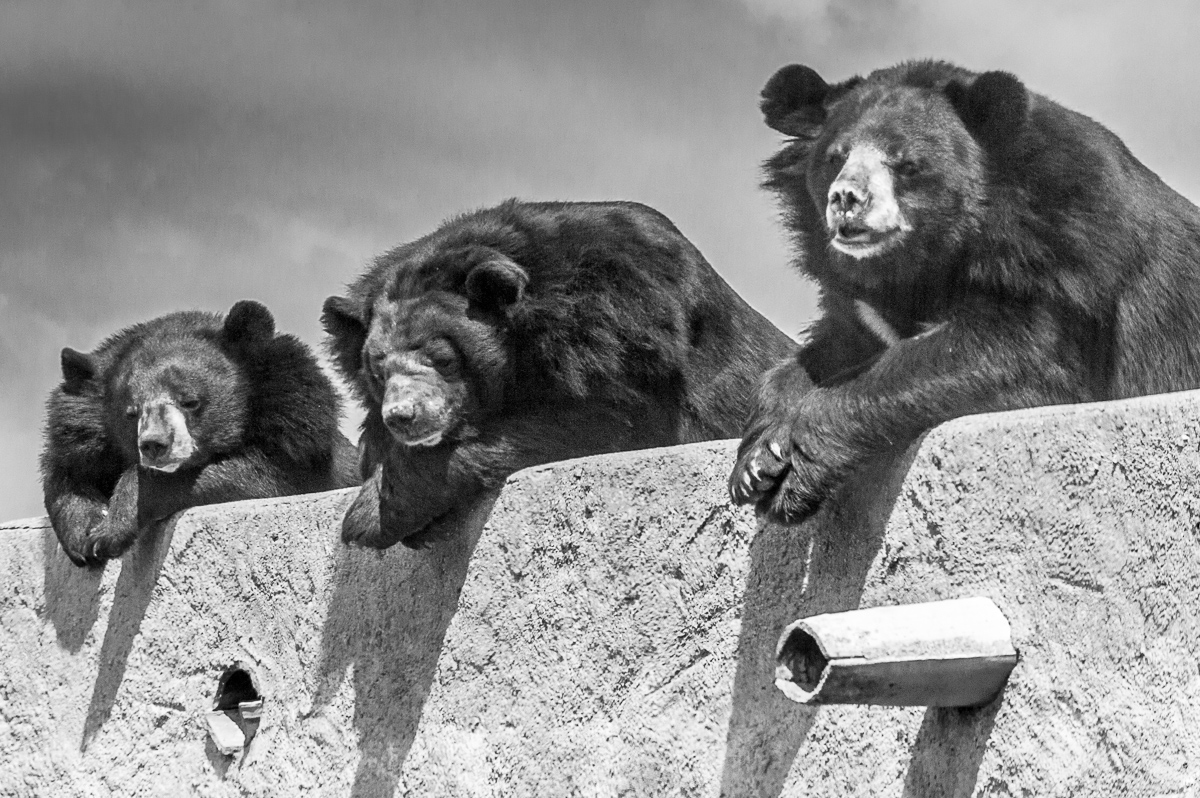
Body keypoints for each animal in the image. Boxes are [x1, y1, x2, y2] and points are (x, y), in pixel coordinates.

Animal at [42, 300, 361, 567]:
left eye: (190, 401)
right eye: (131, 413)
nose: (154, 445)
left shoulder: (297, 431)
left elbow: (260, 476)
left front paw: (110, 531)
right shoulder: (77, 431)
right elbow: (69, 474)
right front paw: (85, 532)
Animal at [322, 199, 799, 549]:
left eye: (443, 358)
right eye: (378, 368)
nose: (403, 416)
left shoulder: (629, 325)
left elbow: (603, 421)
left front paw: (370, 516)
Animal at [729, 59, 1200, 523]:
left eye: (907, 164)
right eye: (835, 158)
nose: (846, 199)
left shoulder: (1063, 260)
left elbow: (1006, 354)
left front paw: (790, 467)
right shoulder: (861, 309)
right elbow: (819, 353)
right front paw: (755, 465)